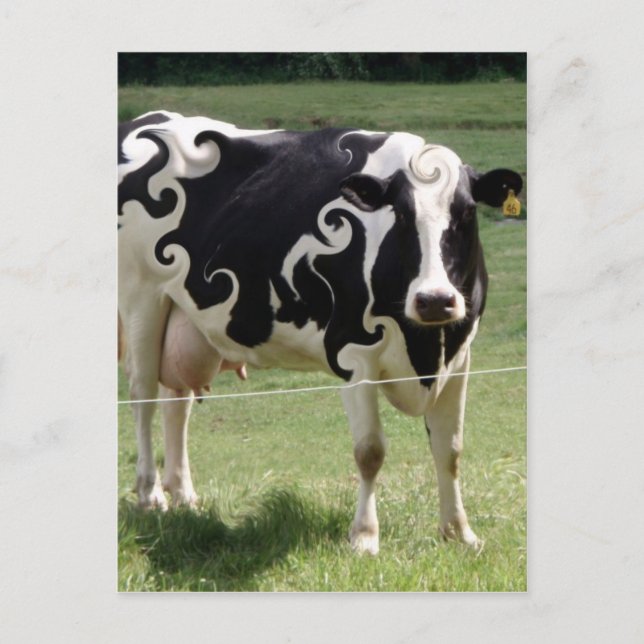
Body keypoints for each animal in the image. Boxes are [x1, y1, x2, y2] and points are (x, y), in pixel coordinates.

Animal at [118, 110, 522, 554]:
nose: (435, 300)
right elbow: (370, 451)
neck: (425, 346)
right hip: (141, 296)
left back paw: (183, 494)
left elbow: (450, 449)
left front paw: (459, 532)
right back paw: (150, 494)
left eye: (467, 212)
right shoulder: (354, 353)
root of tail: (151, 119)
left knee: (177, 402)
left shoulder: (460, 356)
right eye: (400, 215)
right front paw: (364, 536)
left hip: (182, 315)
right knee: (142, 395)